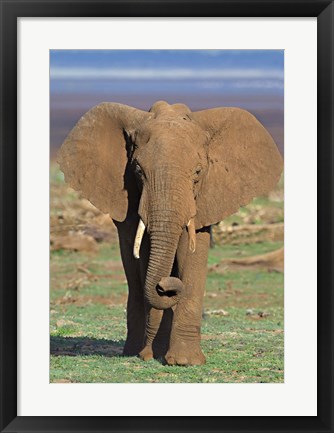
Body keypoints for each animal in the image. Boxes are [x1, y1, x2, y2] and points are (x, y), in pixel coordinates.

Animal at [58, 98, 284, 364]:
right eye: (137, 171)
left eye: (198, 172)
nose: (166, 286)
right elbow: (145, 255)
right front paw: (150, 355)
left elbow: (192, 254)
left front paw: (186, 361)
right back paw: (134, 351)